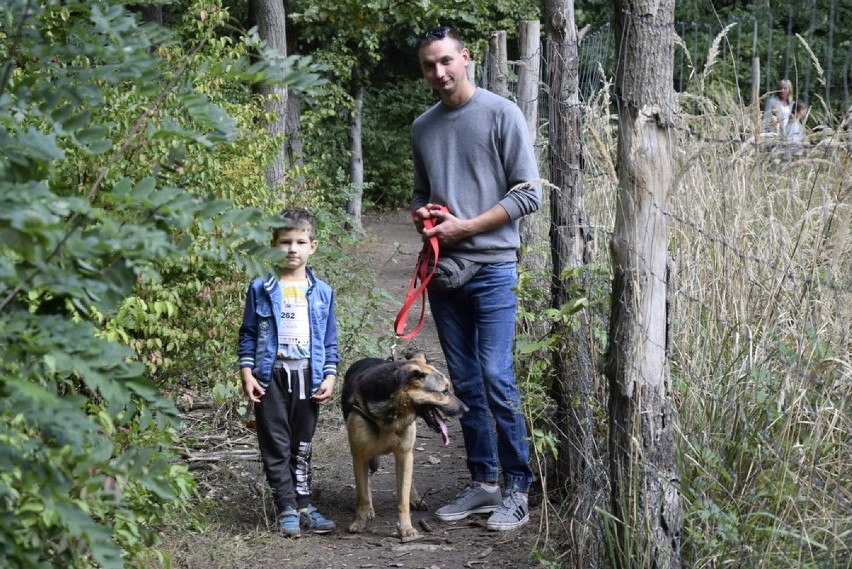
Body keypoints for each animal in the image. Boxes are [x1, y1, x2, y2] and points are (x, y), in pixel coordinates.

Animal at [342, 356, 466, 536]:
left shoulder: (404, 455)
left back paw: (415, 498)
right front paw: (360, 521)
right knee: (367, 483)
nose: (467, 409)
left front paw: (406, 528)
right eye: (444, 391)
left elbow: (403, 498)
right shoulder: (359, 457)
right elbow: (362, 495)